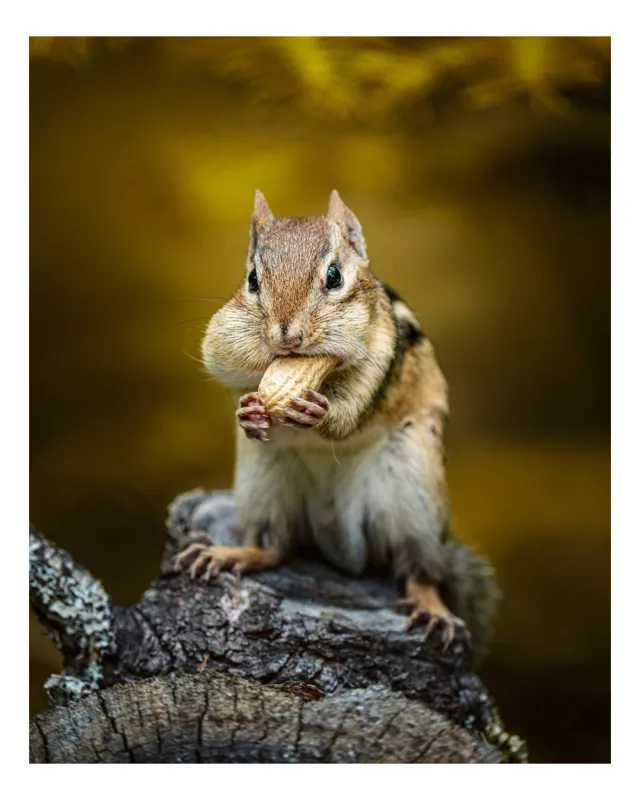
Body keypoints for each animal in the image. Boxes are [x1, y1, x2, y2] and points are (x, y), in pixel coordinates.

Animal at [175, 190, 499, 656]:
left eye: (334, 276)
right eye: (253, 280)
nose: (287, 337)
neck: (315, 371)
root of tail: (335, 531)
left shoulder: (381, 352)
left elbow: (350, 415)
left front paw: (321, 413)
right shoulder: (225, 337)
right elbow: (222, 365)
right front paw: (248, 412)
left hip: (411, 490)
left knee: (417, 569)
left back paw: (432, 606)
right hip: (265, 481)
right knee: (276, 546)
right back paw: (231, 554)